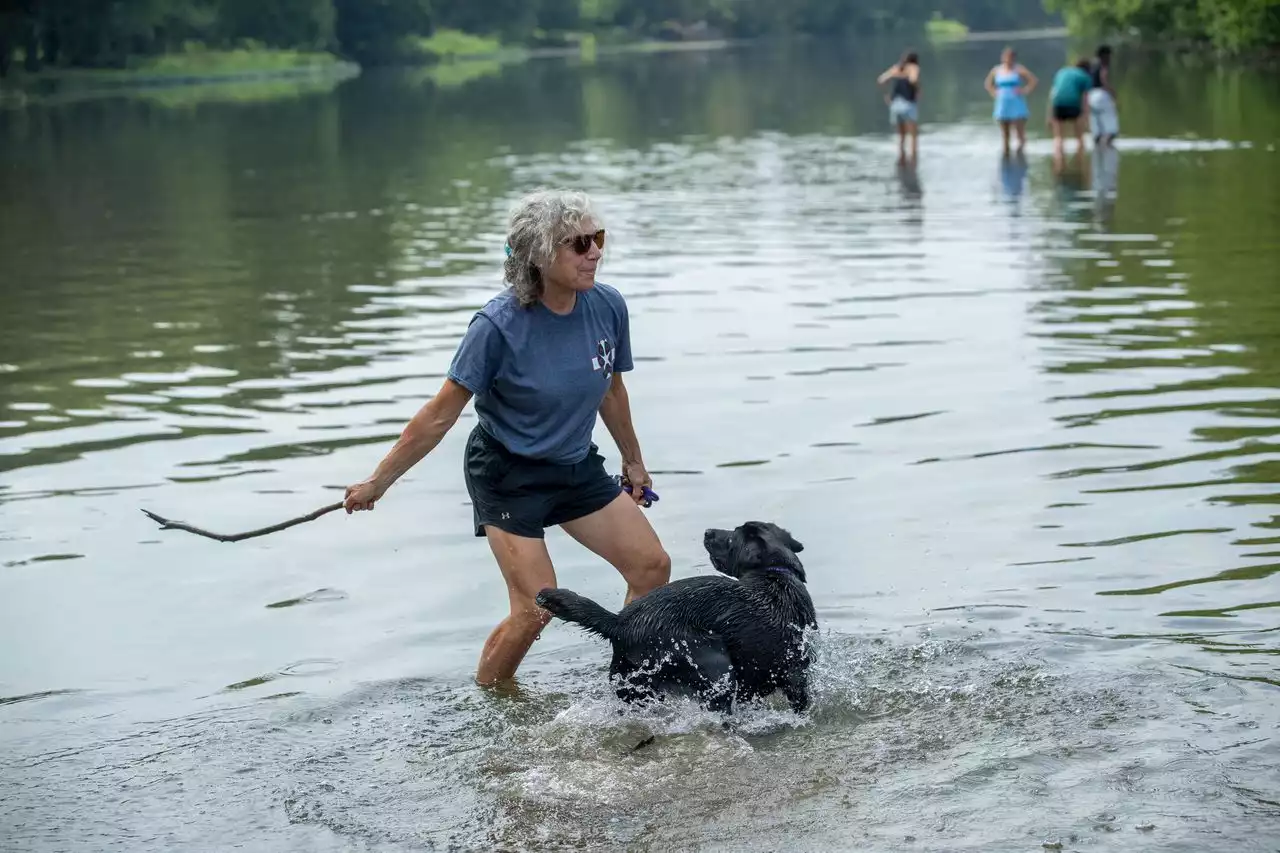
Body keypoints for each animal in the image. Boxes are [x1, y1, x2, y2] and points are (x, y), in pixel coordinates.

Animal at [532, 517, 814, 712]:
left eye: (731, 538)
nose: (707, 531)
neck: (778, 572)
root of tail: (620, 622)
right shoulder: (796, 677)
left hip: (632, 688)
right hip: (716, 669)